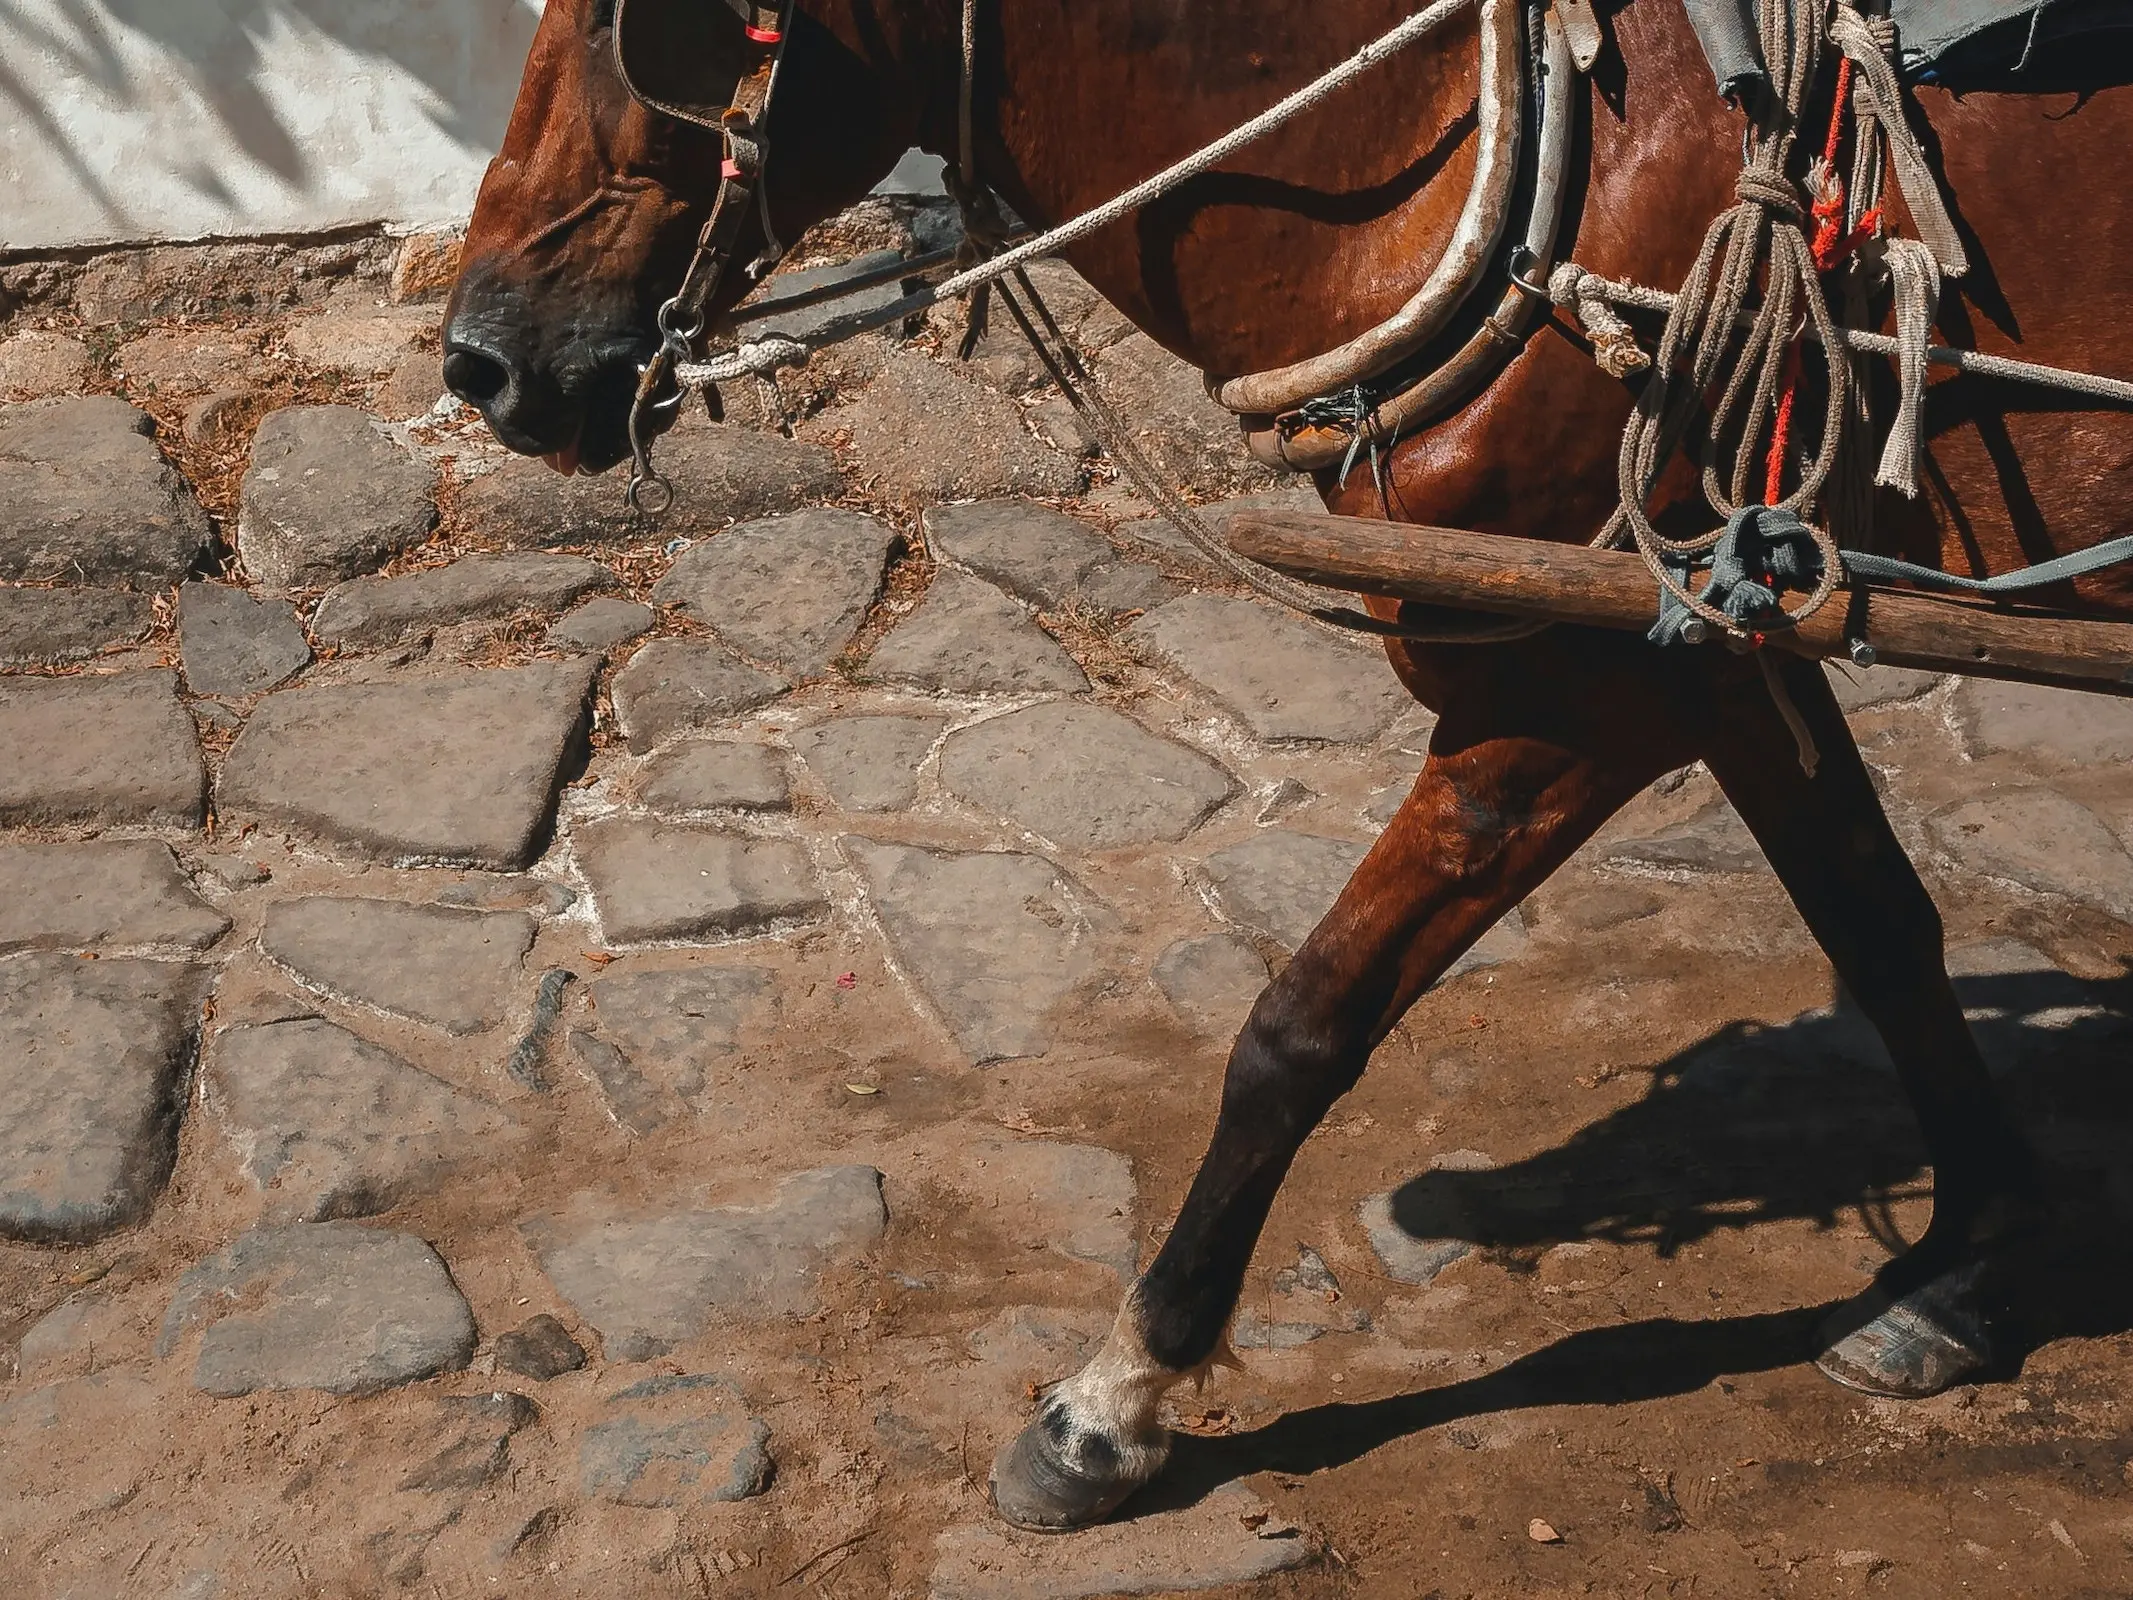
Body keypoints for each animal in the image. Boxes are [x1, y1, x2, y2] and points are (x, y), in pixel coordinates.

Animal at [445, 0, 2133, 1536]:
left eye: (648, 32)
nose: (481, 365)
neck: (1471, 148)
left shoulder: (1573, 692)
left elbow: (1301, 1024)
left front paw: (1113, 1401)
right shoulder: (1718, 636)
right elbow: (1880, 925)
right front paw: (1971, 1263)